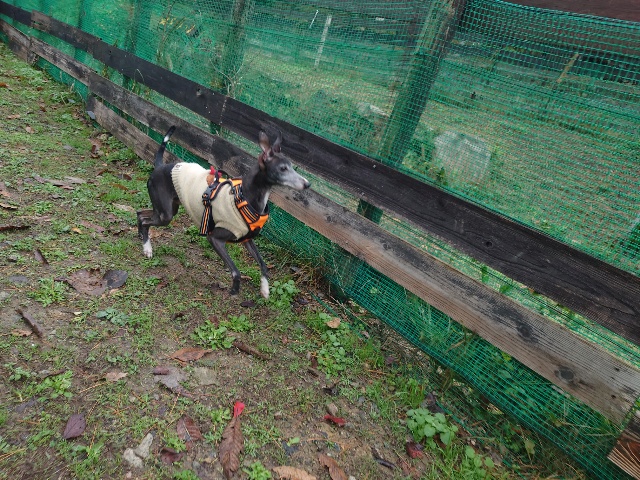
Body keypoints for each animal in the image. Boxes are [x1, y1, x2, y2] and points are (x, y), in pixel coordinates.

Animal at [137, 126, 310, 298]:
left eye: (291, 166)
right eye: (283, 168)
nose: (307, 184)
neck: (244, 198)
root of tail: (160, 166)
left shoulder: (247, 240)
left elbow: (263, 264)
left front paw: (265, 288)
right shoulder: (215, 239)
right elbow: (235, 271)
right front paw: (234, 289)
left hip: (168, 209)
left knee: (140, 213)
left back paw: (141, 237)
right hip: (165, 215)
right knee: (145, 220)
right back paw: (147, 248)